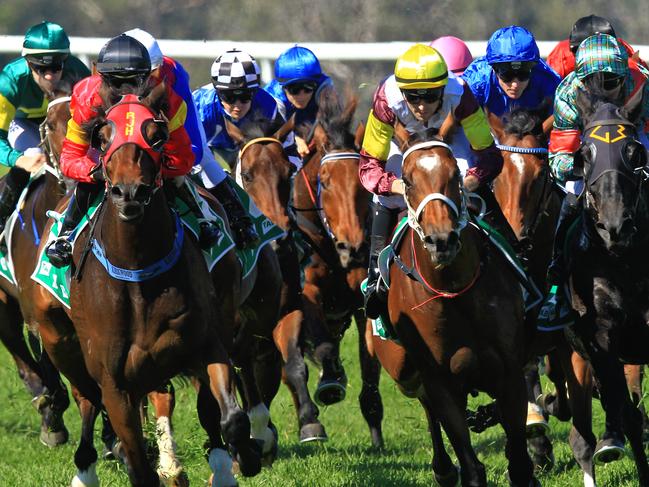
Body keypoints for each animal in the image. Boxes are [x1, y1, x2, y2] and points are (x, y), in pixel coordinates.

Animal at [29, 89, 258, 486]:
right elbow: (136, 460)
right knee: (86, 398)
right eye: (102, 138)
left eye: (157, 135)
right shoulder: (114, 382)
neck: (137, 273)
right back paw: (86, 467)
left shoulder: (205, 342)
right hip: (59, 339)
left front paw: (244, 458)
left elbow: (230, 417)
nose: (129, 192)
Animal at [290, 93, 382, 448]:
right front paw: (329, 382)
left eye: (363, 184)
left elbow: (370, 365)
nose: (352, 247)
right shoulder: (307, 291)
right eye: (326, 183)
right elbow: (323, 346)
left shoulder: (363, 301)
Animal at [370, 127, 536, 487]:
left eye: (455, 175)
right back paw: (443, 468)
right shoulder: (440, 381)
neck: (454, 291)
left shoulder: (510, 372)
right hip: (402, 369)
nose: (441, 239)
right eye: (407, 180)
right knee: (425, 405)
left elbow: (519, 461)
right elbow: (470, 464)